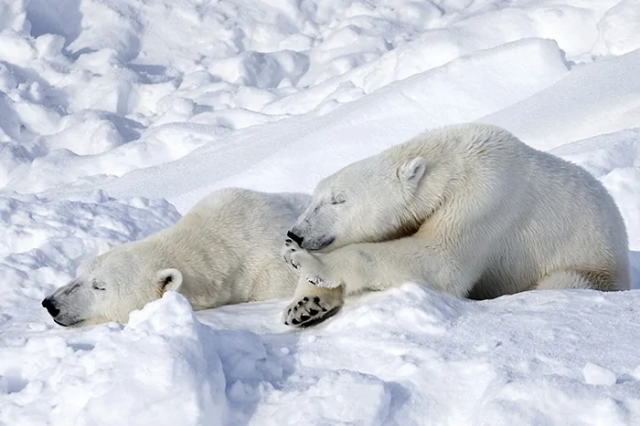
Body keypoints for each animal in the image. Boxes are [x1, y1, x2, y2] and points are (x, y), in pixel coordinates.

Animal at [282, 122, 632, 326]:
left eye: (338, 200)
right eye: (313, 199)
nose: (294, 234)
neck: (452, 162)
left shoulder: (484, 199)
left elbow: (440, 260)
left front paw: (307, 262)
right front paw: (304, 305)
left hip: (591, 269)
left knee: (561, 281)